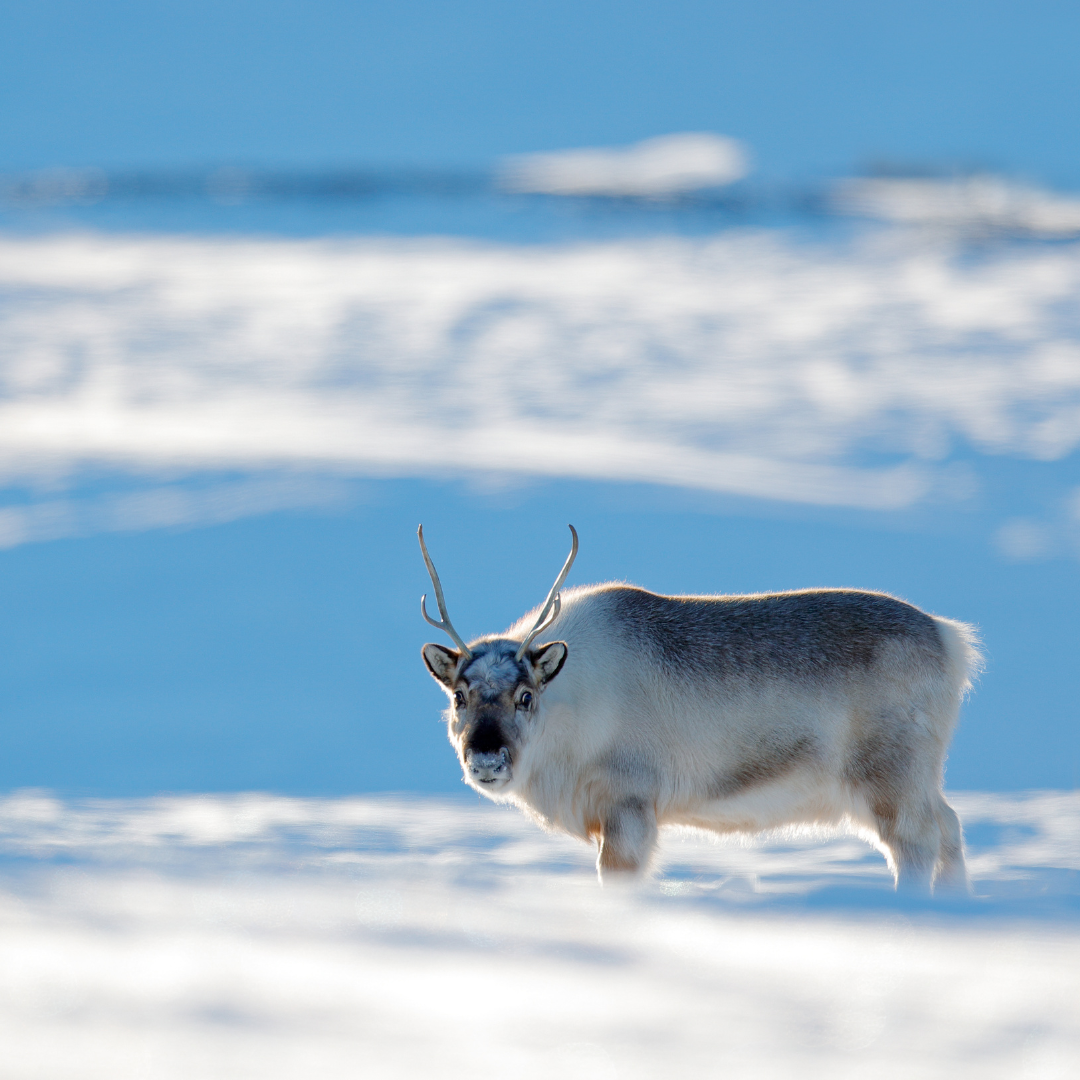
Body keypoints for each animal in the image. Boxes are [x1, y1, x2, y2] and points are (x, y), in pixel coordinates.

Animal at [418, 525, 981, 893]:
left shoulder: (628, 806)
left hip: (888, 777)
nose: (486, 758)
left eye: (526, 696)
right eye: (459, 696)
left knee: (917, 843)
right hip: (918, 778)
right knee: (951, 825)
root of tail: (950, 640)